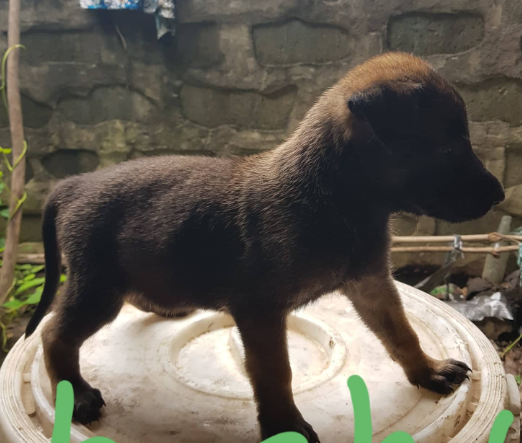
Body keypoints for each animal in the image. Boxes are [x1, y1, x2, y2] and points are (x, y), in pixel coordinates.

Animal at [26, 52, 504, 443]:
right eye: (448, 148)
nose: (501, 195)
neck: (335, 195)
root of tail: (74, 184)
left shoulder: (372, 284)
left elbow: (401, 333)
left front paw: (426, 370)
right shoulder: (260, 312)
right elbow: (276, 373)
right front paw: (284, 425)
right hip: (98, 289)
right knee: (54, 334)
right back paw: (77, 393)